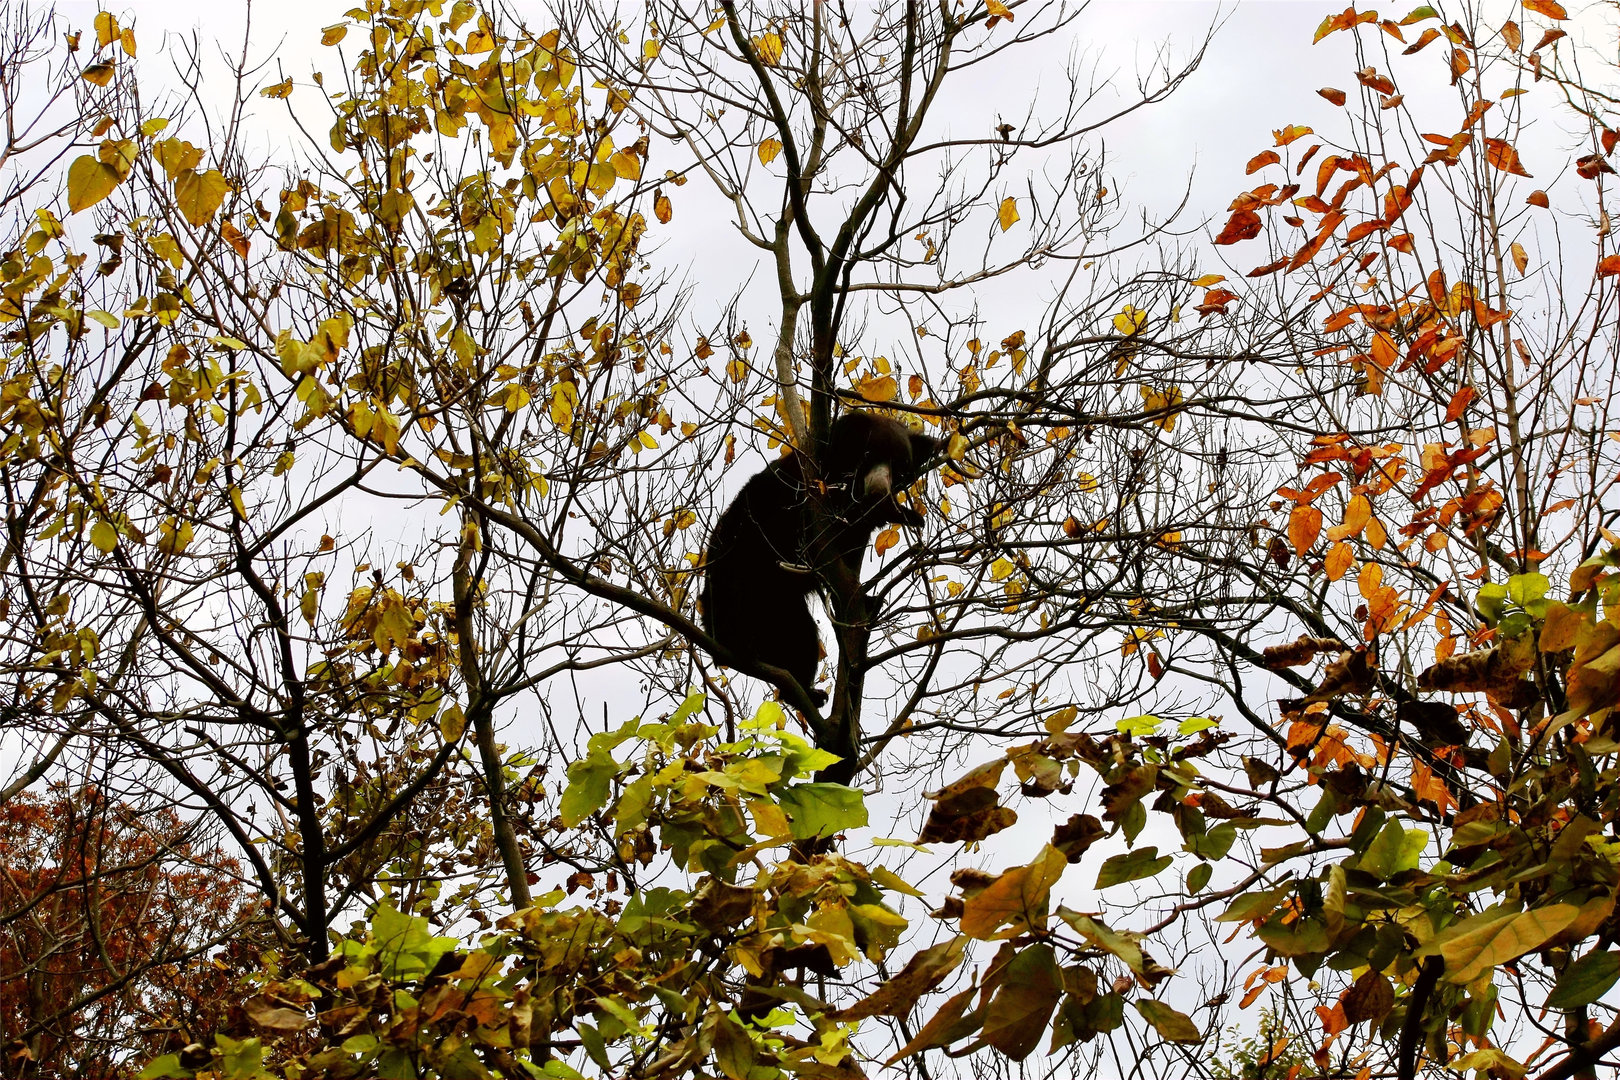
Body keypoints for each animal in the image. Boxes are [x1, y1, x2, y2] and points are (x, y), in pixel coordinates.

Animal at [699, 411, 941, 708]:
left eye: (901, 467)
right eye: (868, 452)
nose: (877, 491)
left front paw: (869, 598)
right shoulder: (802, 498)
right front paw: (906, 513)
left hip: (783, 604)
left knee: (800, 637)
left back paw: (807, 691)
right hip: (739, 563)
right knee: (736, 601)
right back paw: (735, 641)